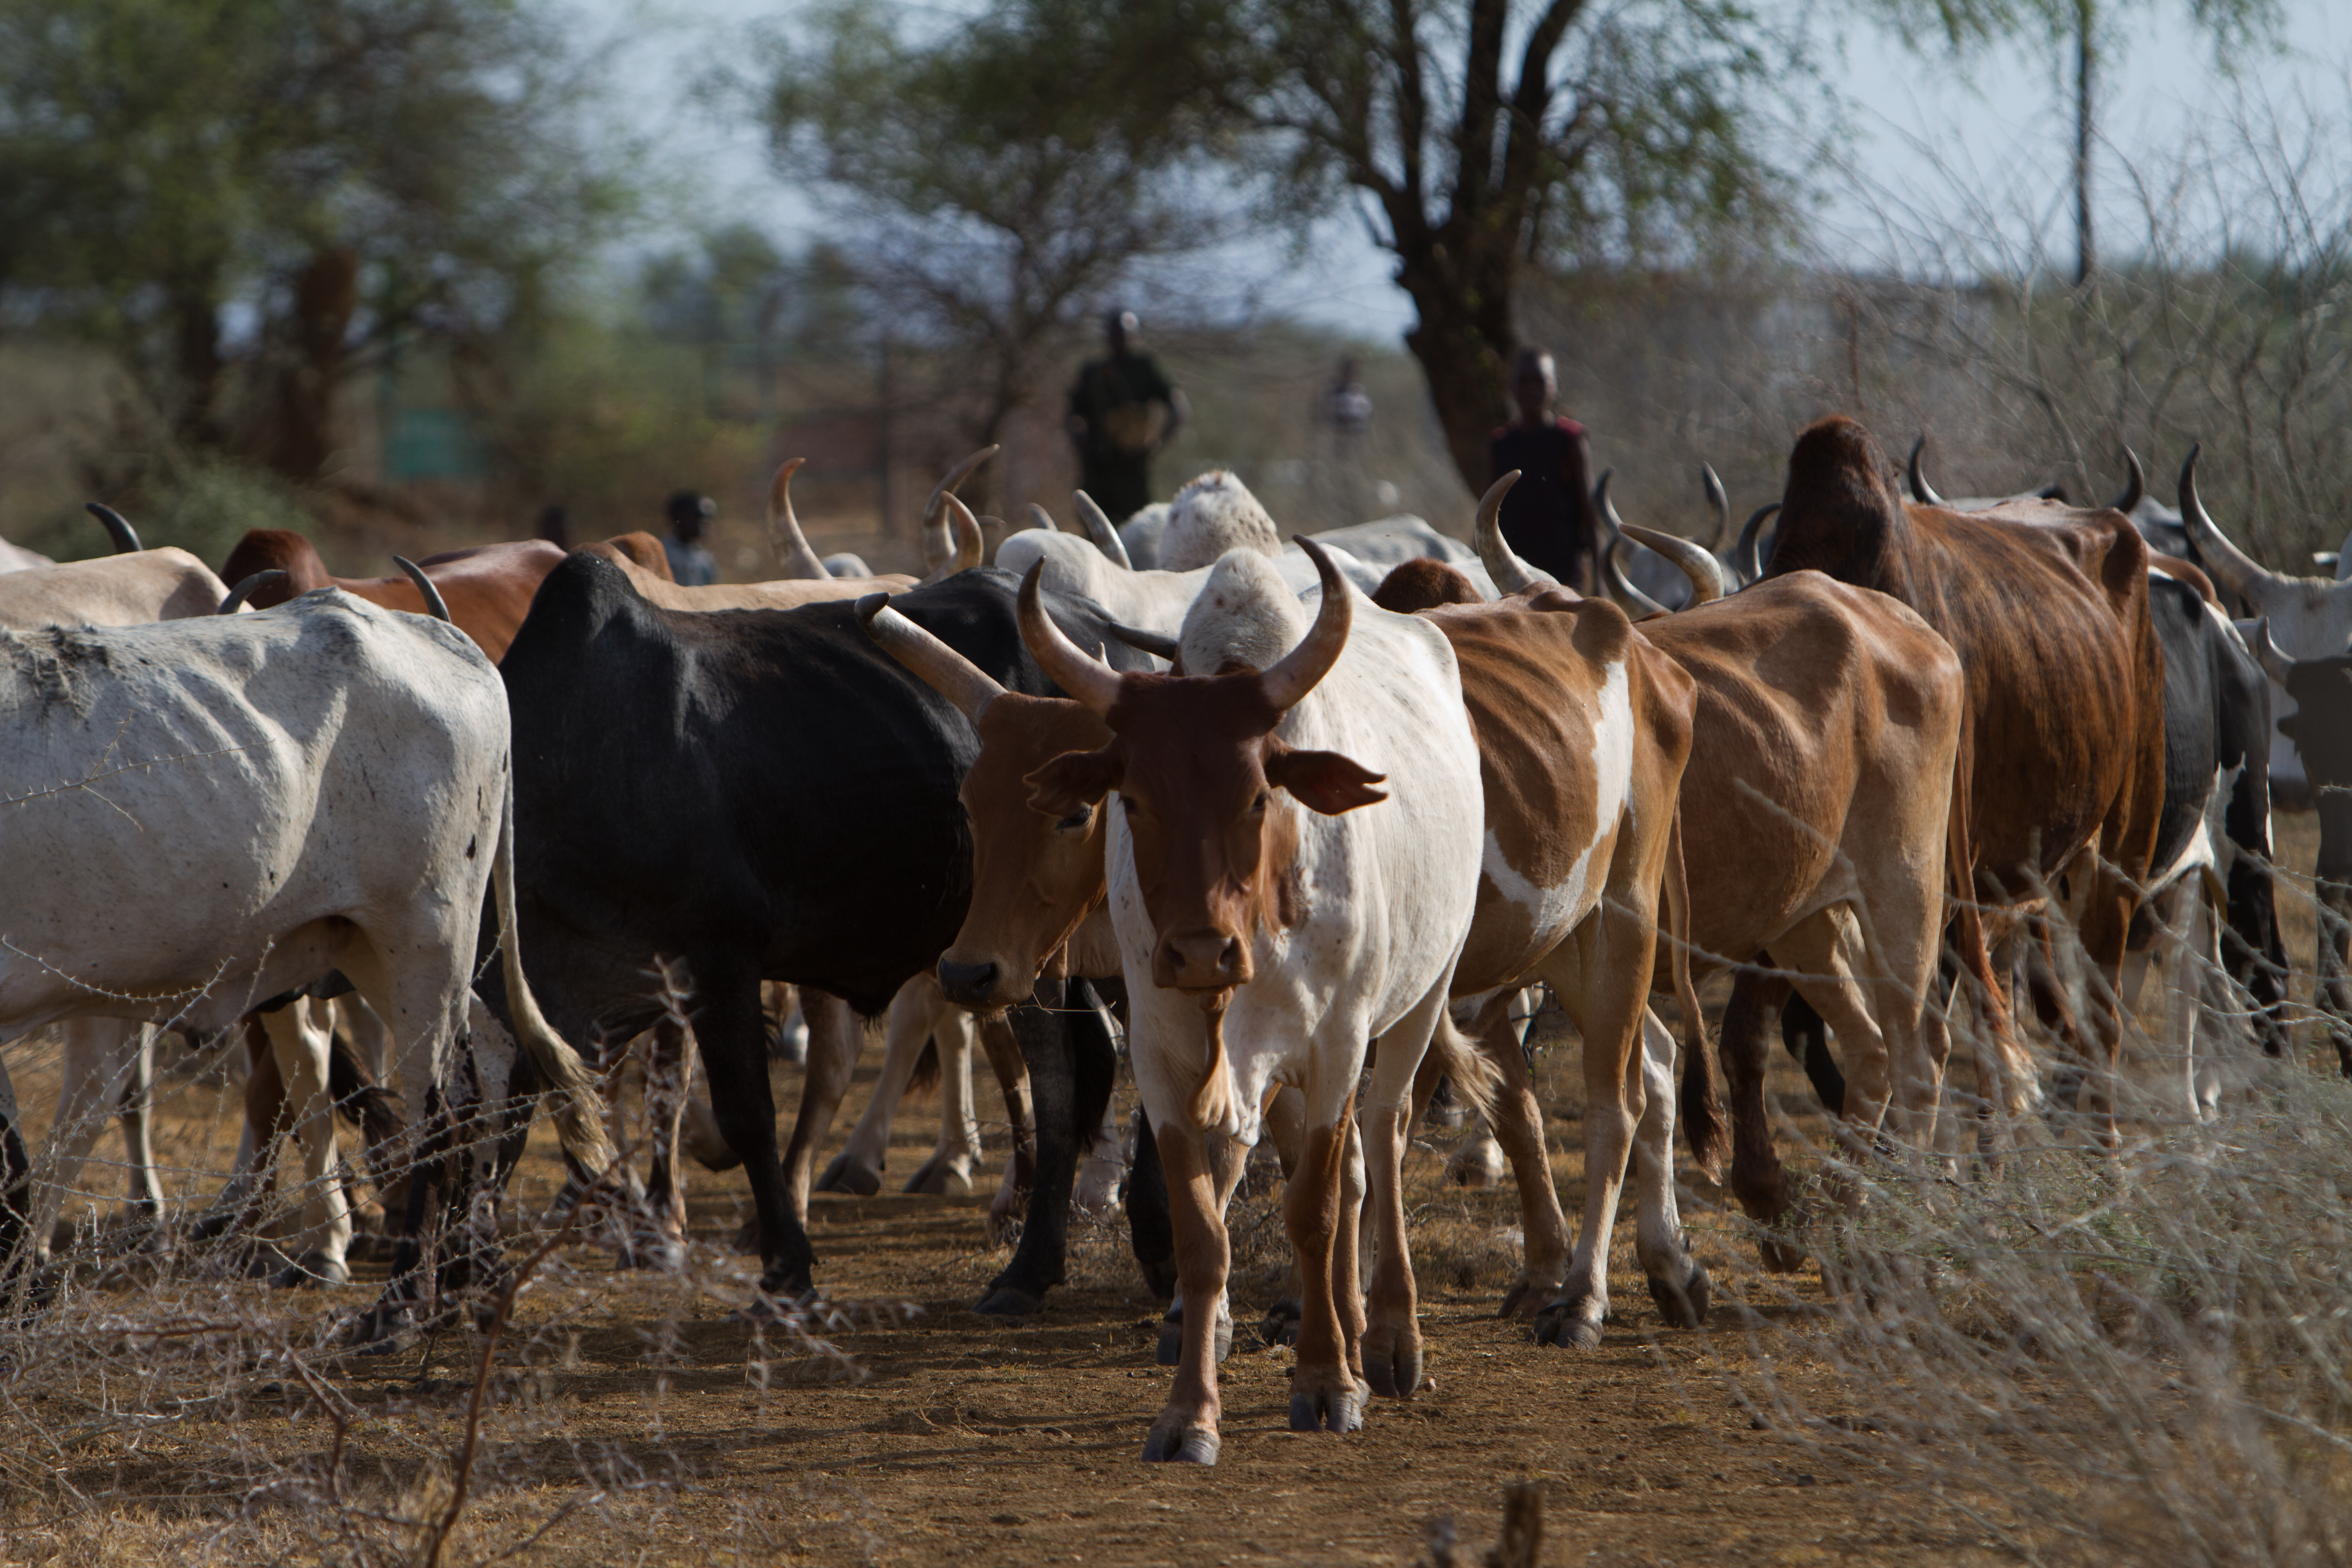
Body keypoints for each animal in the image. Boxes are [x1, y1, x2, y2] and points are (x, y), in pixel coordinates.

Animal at [0, 590, 610, 1320]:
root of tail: (446, 639)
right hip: (366, 942)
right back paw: (469, 1270)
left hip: (427, 931)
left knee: (440, 1111)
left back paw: (402, 1306)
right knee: (487, 1059)